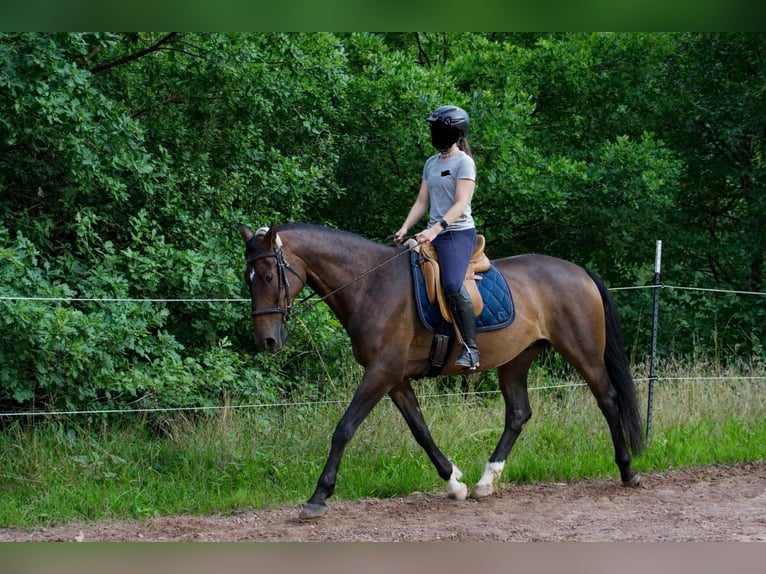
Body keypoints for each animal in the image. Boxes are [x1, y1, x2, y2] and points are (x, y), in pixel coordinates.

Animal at [237, 222, 644, 520]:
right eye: (248, 278)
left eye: (269, 276)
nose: (267, 341)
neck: (371, 284)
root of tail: (579, 271)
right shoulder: (395, 378)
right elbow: (421, 431)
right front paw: (455, 483)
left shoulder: (380, 373)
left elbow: (344, 429)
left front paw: (318, 497)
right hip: (516, 359)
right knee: (518, 413)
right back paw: (485, 481)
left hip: (583, 352)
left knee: (608, 399)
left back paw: (627, 471)